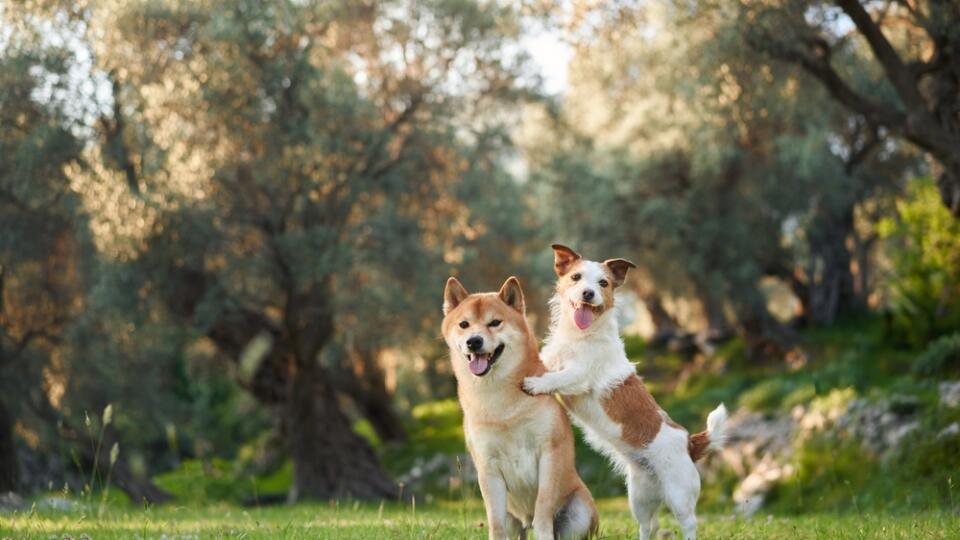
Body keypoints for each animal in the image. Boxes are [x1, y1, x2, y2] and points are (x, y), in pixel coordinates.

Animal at [444, 276, 600, 540]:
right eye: (464, 324)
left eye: (495, 322)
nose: (473, 341)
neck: (500, 401)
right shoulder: (488, 466)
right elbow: (495, 522)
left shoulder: (549, 452)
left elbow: (543, 509)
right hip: (513, 518)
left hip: (579, 510)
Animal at [524, 246, 728, 540]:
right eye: (576, 277)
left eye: (603, 283)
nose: (588, 293)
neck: (580, 336)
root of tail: (690, 443)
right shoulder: (552, 359)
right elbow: (549, 366)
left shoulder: (580, 374)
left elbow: (557, 377)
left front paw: (535, 384)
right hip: (640, 496)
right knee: (649, 525)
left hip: (679, 494)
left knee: (689, 522)